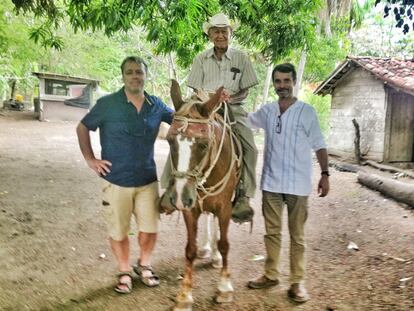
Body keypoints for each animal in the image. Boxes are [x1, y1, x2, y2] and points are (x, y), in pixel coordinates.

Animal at [161, 81, 241, 311]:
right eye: (169, 141)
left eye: (203, 144)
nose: (179, 196)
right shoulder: (192, 208)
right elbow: (190, 249)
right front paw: (184, 296)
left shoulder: (225, 207)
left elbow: (224, 244)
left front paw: (224, 288)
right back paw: (208, 249)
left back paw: (215, 255)